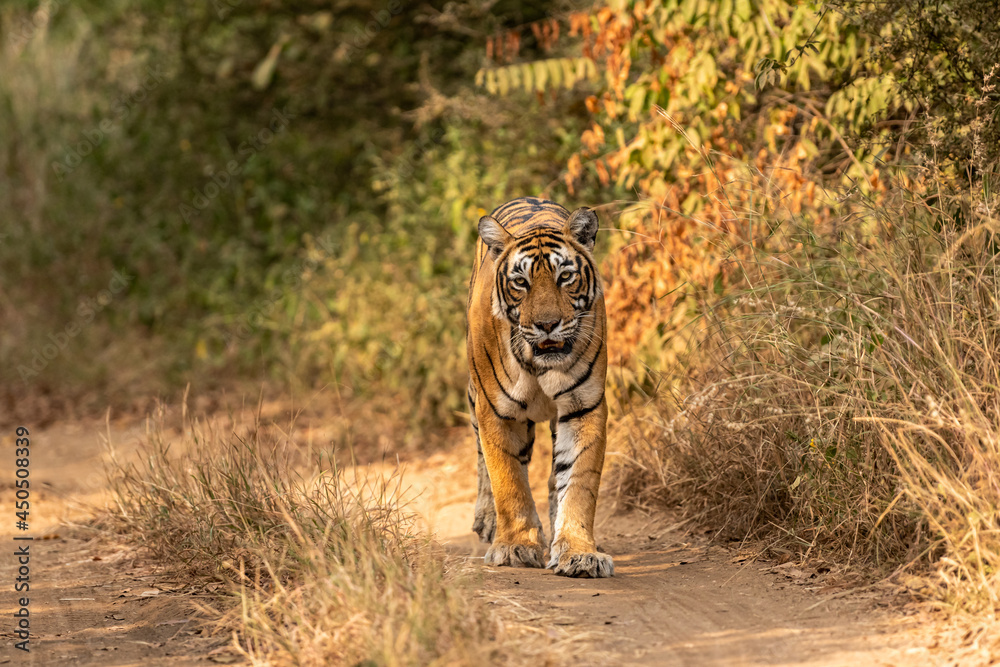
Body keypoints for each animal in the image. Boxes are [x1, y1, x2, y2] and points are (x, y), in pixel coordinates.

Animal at [466, 196, 613, 578]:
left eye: (566, 277)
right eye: (521, 282)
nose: (547, 324)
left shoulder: (583, 406)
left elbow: (578, 482)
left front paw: (579, 552)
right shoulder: (496, 412)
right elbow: (508, 480)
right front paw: (514, 547)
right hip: (474, 395)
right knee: (482, 458)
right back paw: (487, 520)